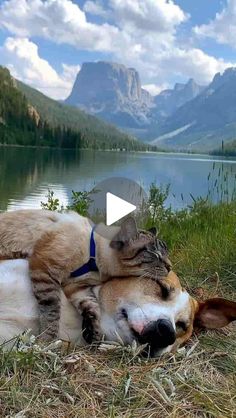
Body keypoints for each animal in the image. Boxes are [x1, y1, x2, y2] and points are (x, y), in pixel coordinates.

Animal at [0, 209, 171, 340]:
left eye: (166, 254)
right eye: (155, 254)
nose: (170, 267)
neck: (96, 265)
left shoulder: (76, 286)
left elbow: (93, 309)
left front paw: (93, 336)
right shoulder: (45, 269)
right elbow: (52, 311)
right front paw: (48, 340)